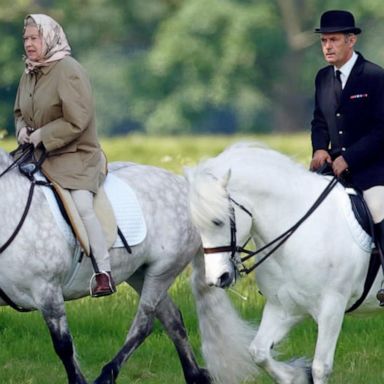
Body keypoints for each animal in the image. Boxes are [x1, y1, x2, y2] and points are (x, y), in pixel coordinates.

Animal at [0, 147, 210, 384]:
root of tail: (183, 185)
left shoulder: (47, 290)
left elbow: (64, 346)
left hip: (163, 271)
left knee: (145, 323)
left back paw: (107, 375)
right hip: (140, 273)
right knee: (171, 317)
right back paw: (195, 375)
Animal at [186, 142, 380, 384]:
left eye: (218, 221)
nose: (216, 279)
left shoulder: (332, 307)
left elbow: (320, 368)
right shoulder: (283, 306)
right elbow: (258, 352)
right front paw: (295, 375)